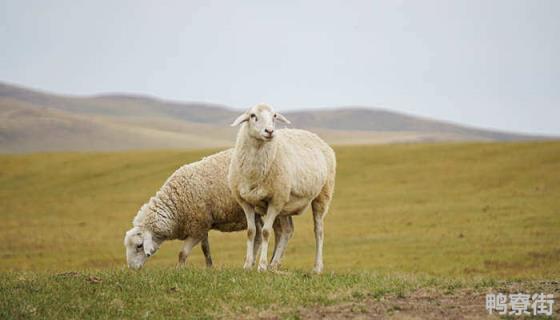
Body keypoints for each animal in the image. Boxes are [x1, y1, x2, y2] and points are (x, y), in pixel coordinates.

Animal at [122, 149, 284, 268]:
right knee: (259, 234)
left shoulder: (198, 228)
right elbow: (205, 249)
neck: (176, 202)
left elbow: (182, 253)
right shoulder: (202, 225)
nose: (132, 268)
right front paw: (209, 267)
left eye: (139, 246)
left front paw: (179, 270)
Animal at [229, 103, 336, 272]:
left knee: (318, 230)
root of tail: (316, 136)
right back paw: (274, 264)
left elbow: (265, 232)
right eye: (253, 116)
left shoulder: (275, 200)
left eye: (274, 116)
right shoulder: (245, 202)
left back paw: (317, 267)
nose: (269, 131)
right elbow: (251, 232)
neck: (254, 173)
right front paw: (247, 265)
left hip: (322, 195)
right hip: (286, 202)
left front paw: (261, 266)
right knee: (287, 230)